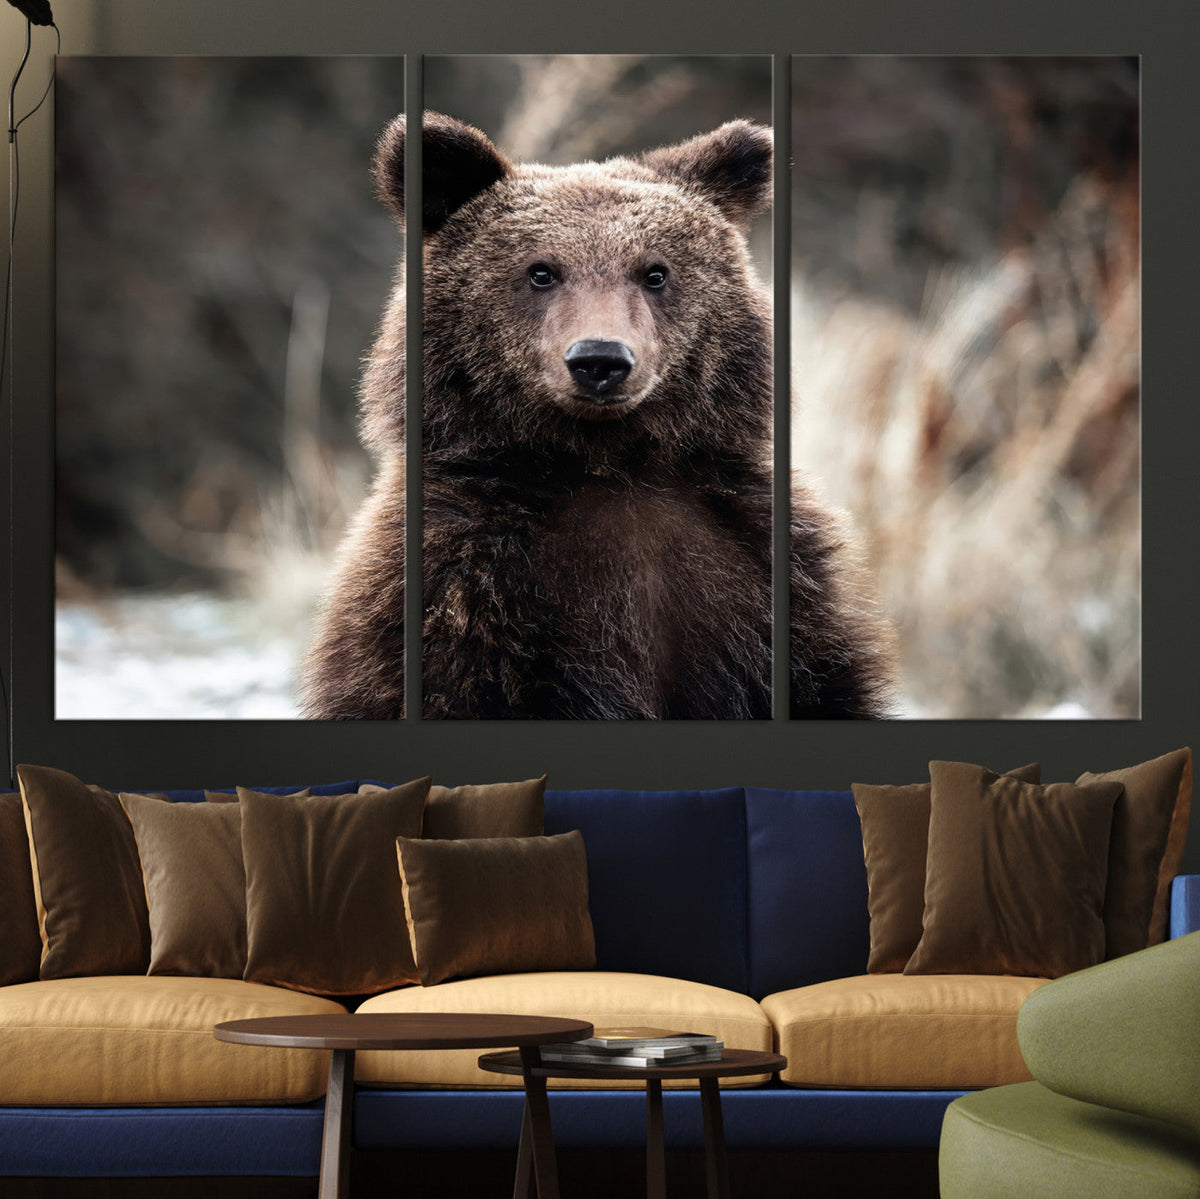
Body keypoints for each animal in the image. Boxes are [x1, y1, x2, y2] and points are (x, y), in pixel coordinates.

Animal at [300, 111, 892, 720]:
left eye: (655, 272)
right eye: (541, 271)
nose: (600, 360)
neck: (606, 463)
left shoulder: (763, 576)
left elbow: (821, 682)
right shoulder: (460, 590)